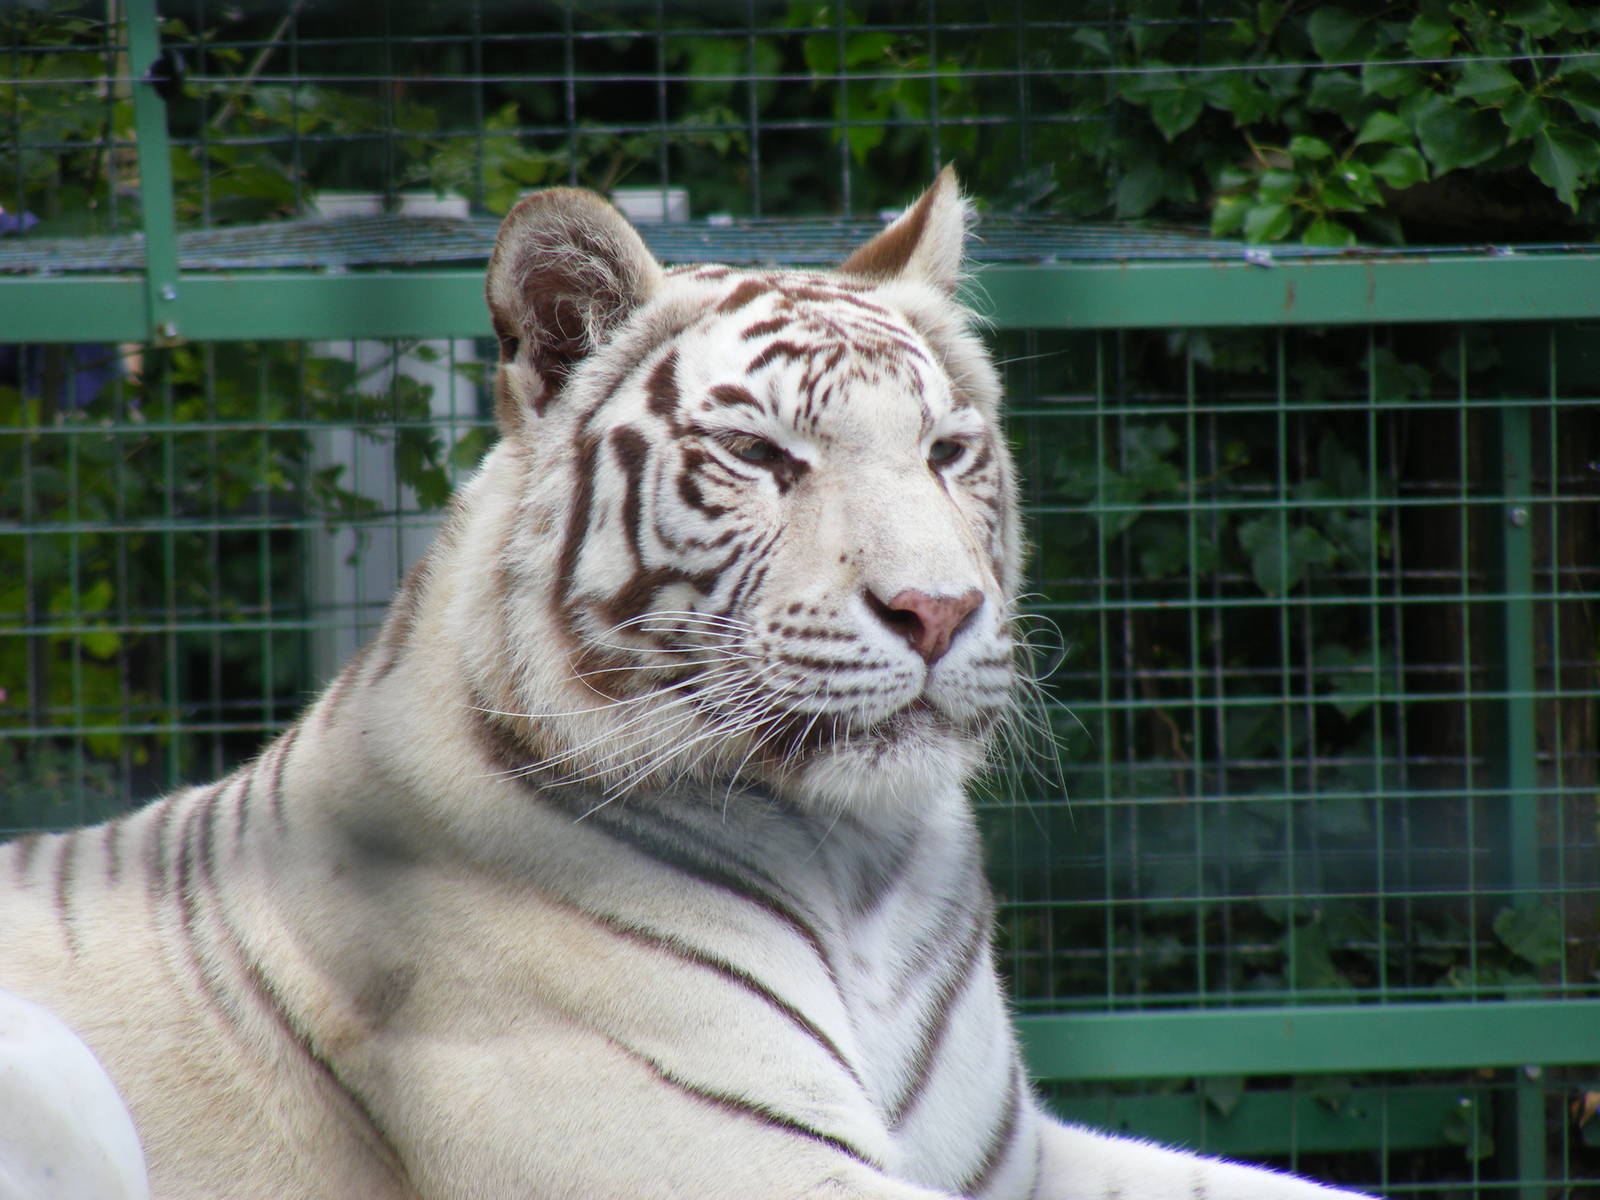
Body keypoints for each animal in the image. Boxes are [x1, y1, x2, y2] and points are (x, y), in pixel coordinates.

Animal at [0, 169, 1373, 1200]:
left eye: (947, 451)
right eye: (761, 455)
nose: (936, 610)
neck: (860, 863)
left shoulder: (1015, 1158)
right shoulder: (726, 1161)